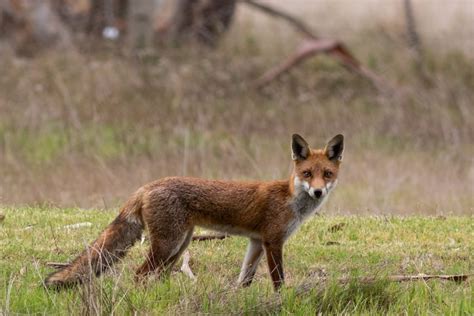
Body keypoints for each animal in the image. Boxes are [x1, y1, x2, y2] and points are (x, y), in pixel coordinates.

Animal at [45, 133, 344, 292]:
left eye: (327, 174)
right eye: (307, 174)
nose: (318, 192)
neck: (290, 199)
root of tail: (147, 186)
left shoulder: (256, 242)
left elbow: (245, 278)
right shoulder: (273, 241)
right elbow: (278, 279)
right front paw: (279, 299)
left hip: (179, 245)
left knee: (158, 274)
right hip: (169, 244)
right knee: (140, 274)